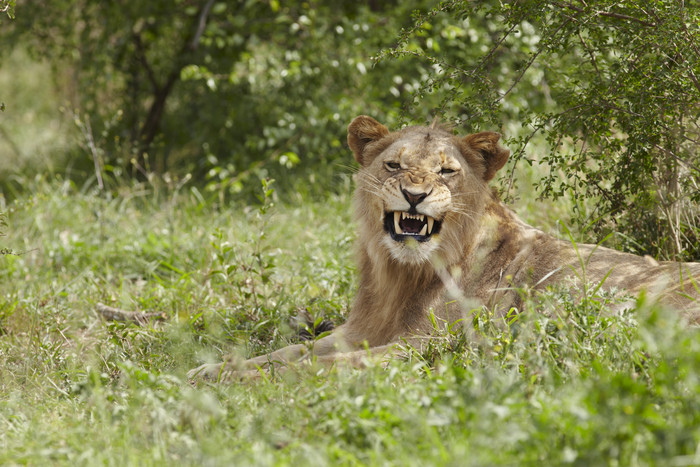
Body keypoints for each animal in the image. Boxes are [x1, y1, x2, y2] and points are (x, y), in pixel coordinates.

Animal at [186, 115, 700, 382]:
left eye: (447, 171)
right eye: (394, 165)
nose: (414, 195)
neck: (398, 276)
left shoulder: (424, 348)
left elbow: (317, 366)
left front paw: (240, 380)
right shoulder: (358, 331)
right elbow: (288, 352)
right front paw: (207, 370)